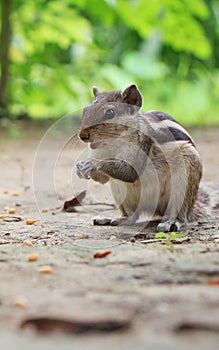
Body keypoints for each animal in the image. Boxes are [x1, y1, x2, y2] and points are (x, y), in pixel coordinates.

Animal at [76, 85, 210, 232]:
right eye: (84, 110)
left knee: (180, 215)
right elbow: (102, 179)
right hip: (120, 192)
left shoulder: (141, 144)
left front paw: (92, 164)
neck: (113, 144)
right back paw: (113, 219)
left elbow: (130, 171)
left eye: (110, 113)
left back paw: (171, 222)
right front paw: (80, 168)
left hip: (182, 188)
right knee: (132, 216)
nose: (82, 136)